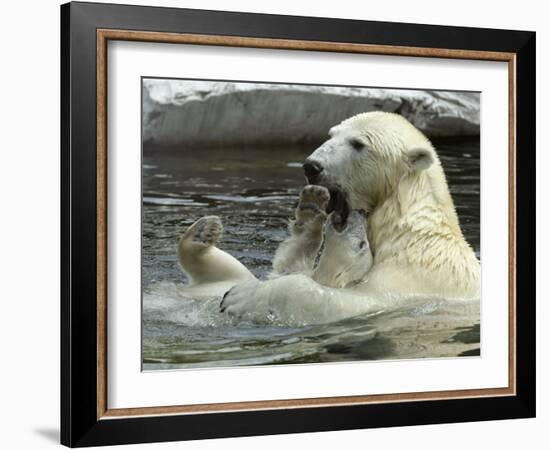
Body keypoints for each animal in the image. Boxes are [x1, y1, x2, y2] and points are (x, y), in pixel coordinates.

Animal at [218, 112, 480, 324]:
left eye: (358, 143)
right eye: (331, 134)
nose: (312, 166)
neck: (406, 229)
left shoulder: (411, 281)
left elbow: (343, 301)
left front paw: (239, 296)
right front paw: (311, 208)